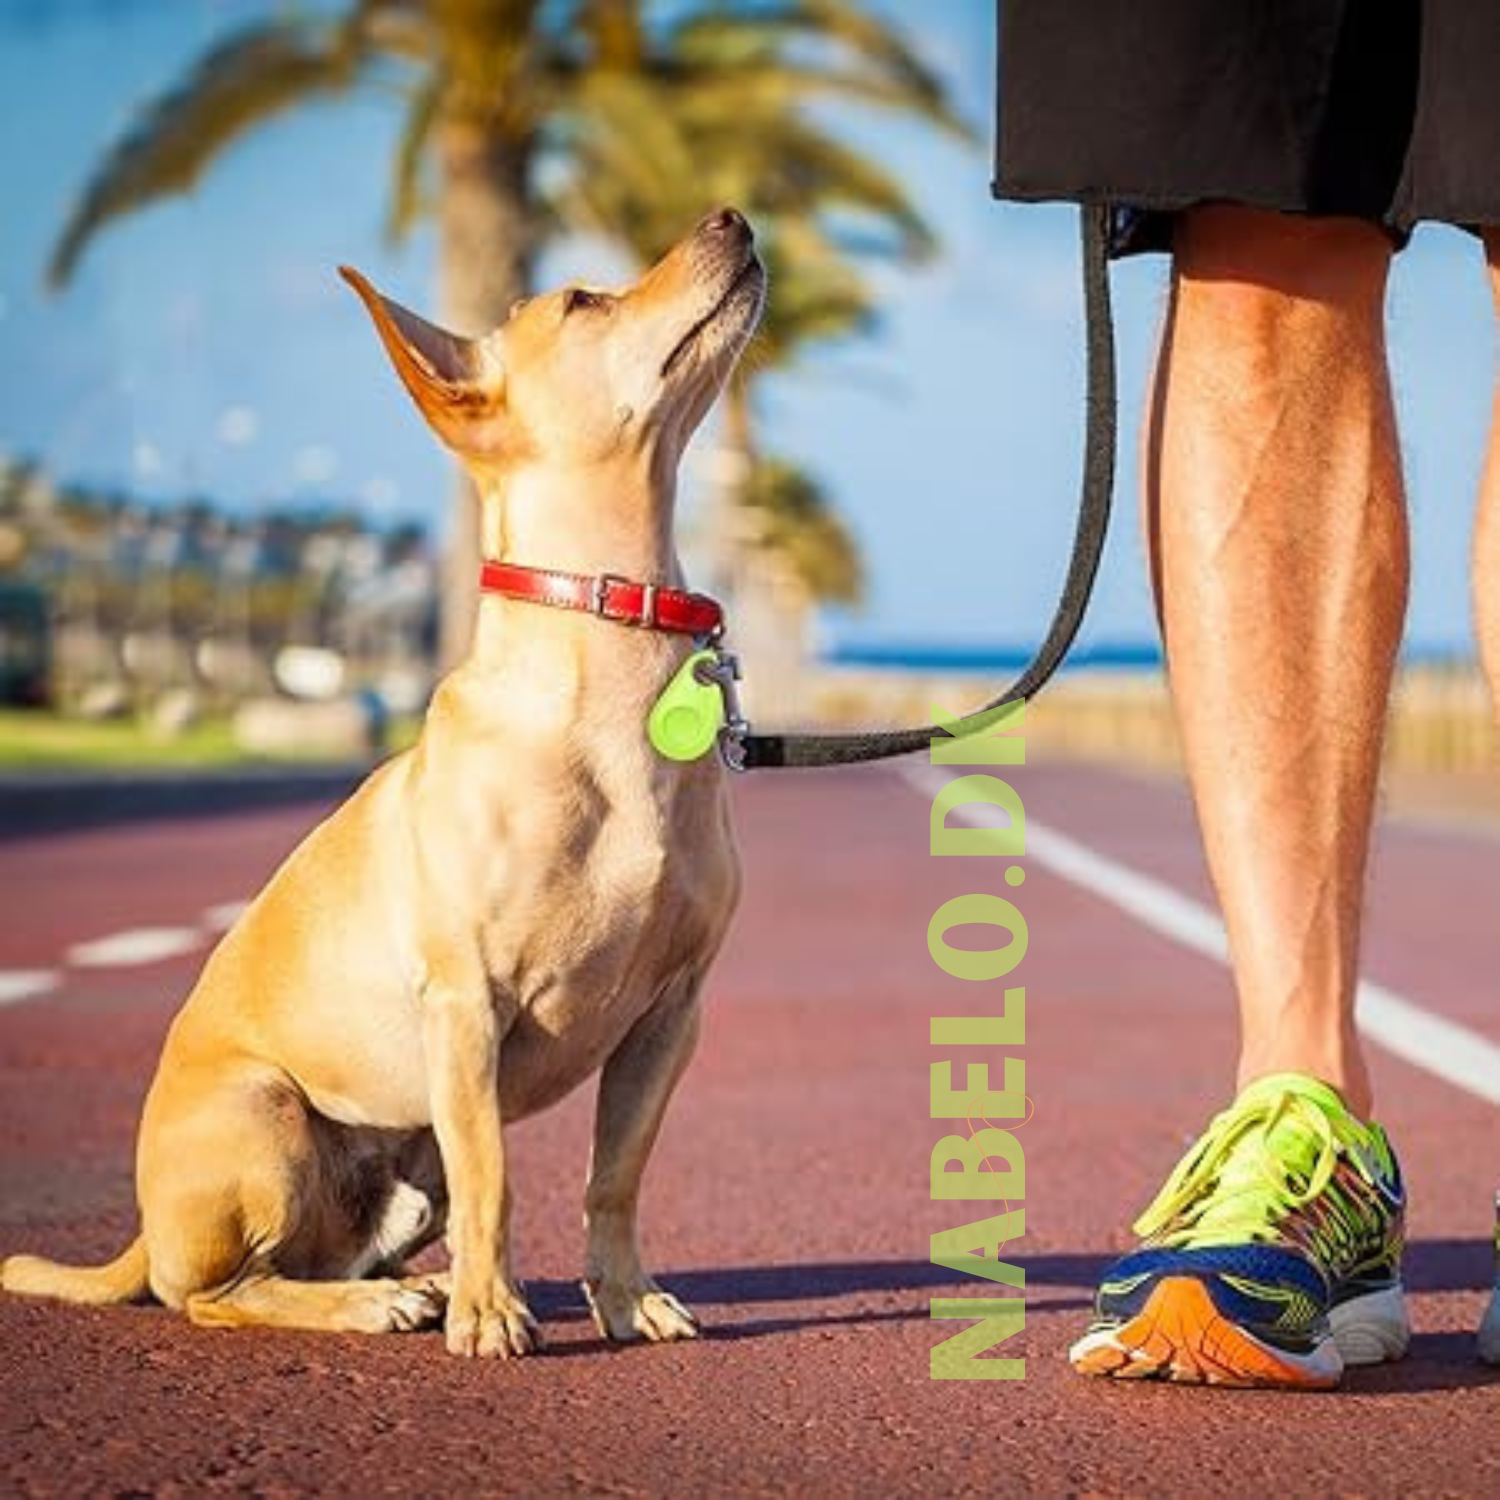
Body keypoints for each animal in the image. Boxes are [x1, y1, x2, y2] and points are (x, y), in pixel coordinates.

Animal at [0, 208, 768, 1362]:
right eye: (583, 300)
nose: (731, 216)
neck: (611, 661)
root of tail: (144, 1231)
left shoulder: (669, 1017)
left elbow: (614, 1178)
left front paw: (626, 1299)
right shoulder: (468, 1006)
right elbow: (498, 1178)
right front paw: (491, 1315)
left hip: (407, 1172)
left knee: (321, 1256)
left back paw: (412, 1286)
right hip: (269, 1119)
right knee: (220, 1290)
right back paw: (387, 1303)